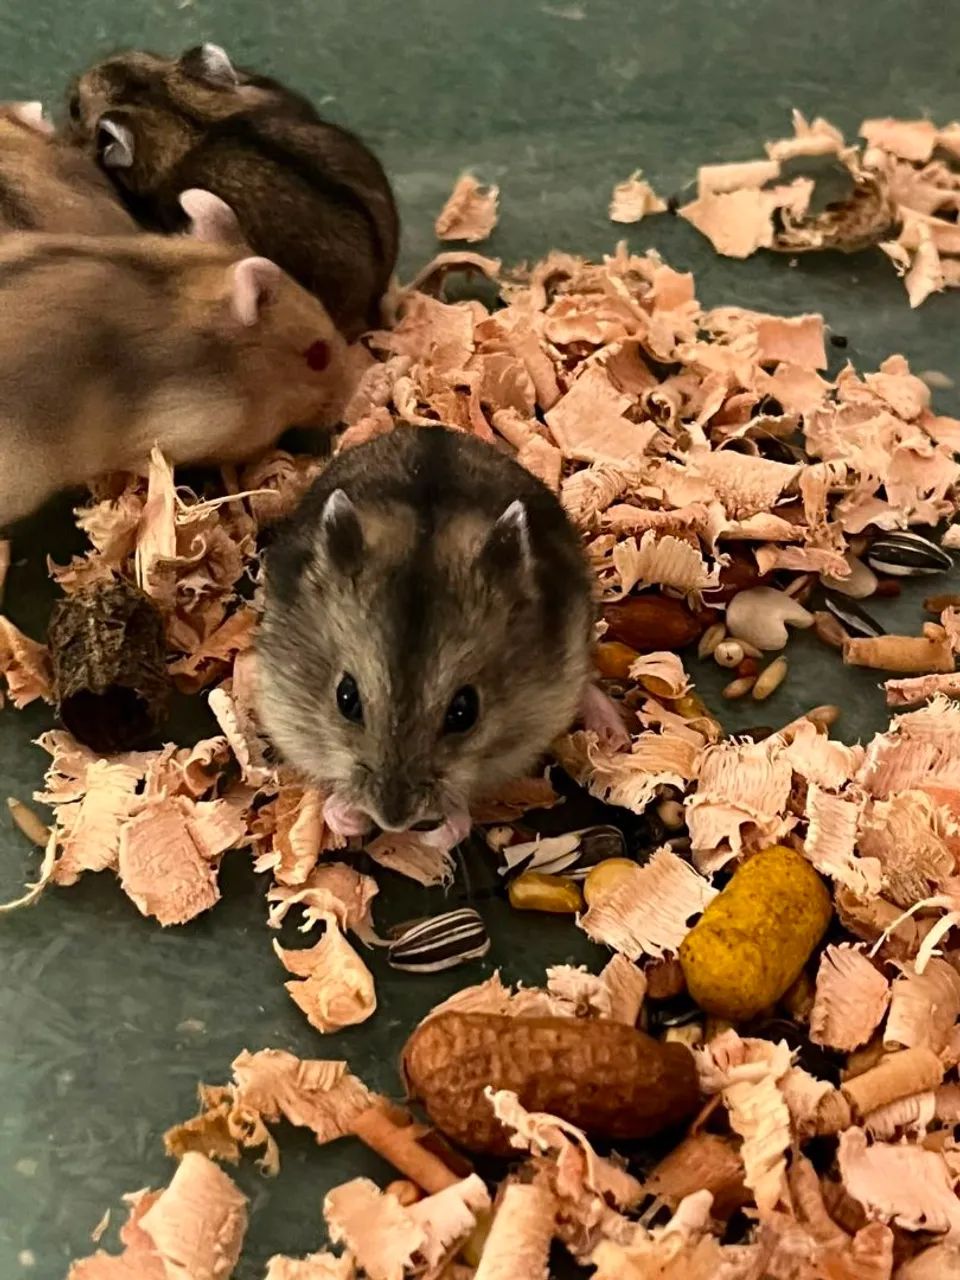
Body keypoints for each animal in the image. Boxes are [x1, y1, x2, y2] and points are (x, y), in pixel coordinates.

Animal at [257, 425, 629, 851]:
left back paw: (614, 736)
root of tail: (434, 429)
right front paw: (348, 817)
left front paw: (434, 837)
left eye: (465, 711)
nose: (394, 821)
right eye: (345, 698)